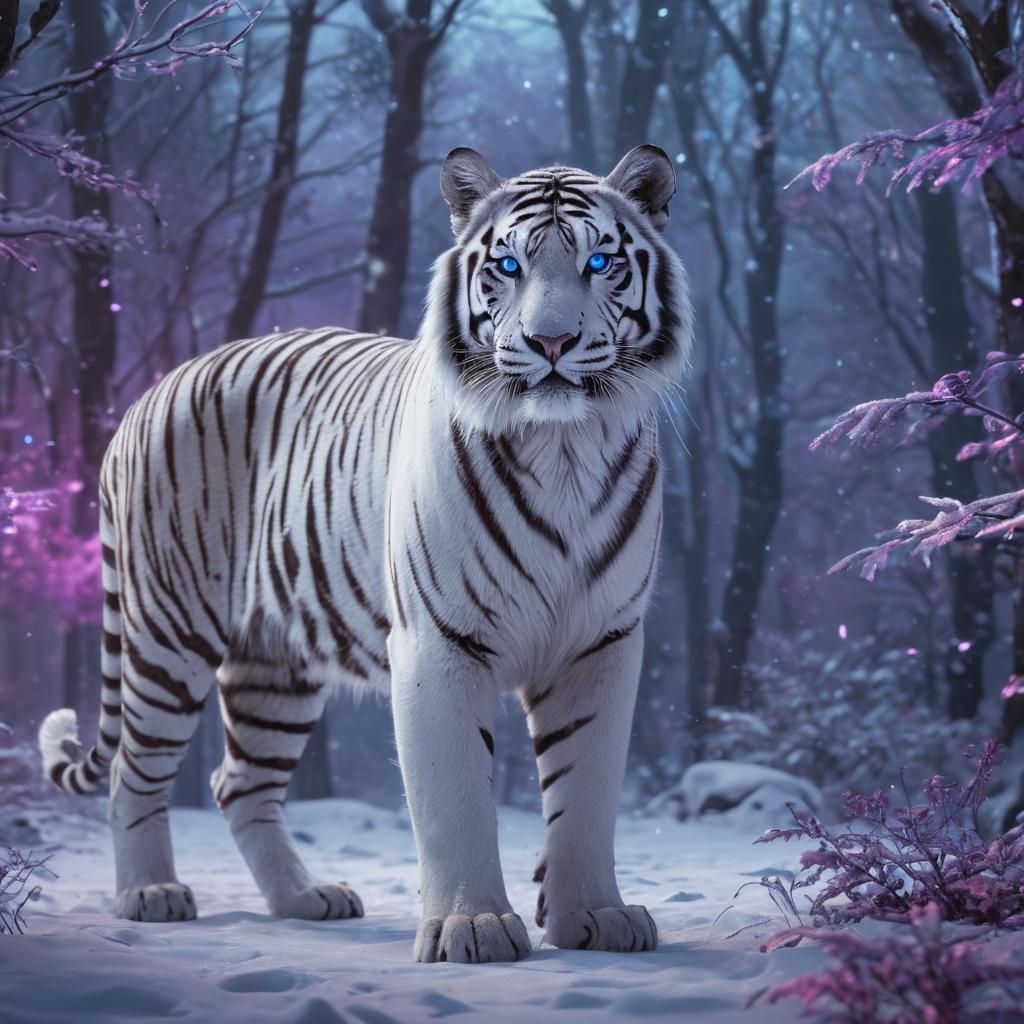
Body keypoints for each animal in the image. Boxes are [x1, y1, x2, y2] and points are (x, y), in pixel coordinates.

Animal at [38, 143, 692, 963]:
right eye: (507, 266)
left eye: (600, 261)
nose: (551, 342)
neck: (563, 446)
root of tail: (152, 391)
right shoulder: (441, 642)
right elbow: (454, 799)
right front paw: (473, 928)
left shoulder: (601, 642)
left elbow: (586, 791)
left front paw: (596, 918)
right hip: (168, 631)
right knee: (135, 767)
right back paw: (149, 895)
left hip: (275, 664)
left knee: (238, 783)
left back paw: (305, 898)